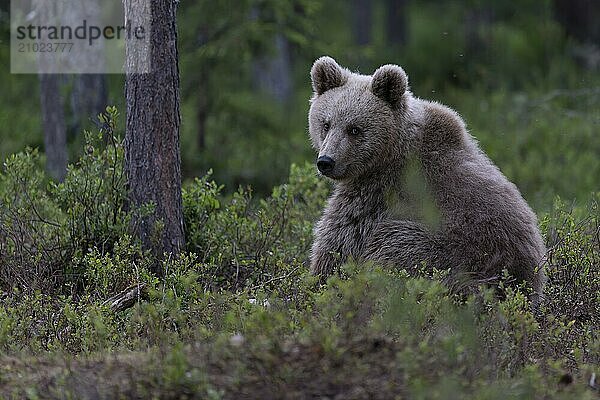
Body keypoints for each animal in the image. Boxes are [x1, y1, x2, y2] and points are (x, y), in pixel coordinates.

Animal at [308, 56, 548, 304]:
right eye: (326, 124)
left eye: (354, 129)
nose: (326, 161)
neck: (390, 151)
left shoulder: (377, 192)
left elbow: (339, 242)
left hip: (448, 253)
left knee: (392, 244)